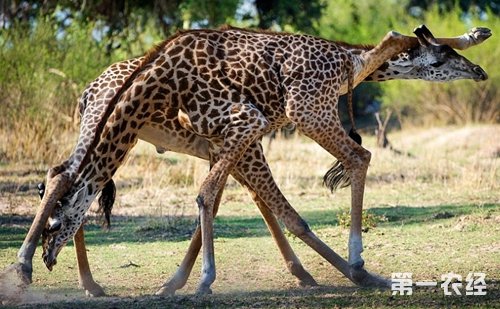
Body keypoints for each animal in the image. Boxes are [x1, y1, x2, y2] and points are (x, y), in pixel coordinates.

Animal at [5, 24, 486, 296]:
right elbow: (274, 210)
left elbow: (236, 203)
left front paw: (180, 282)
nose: (478, 71)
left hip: (110, 132)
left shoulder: (233, 140)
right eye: (444, 60)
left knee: (62, 175)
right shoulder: (251, 129)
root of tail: (89, 89)